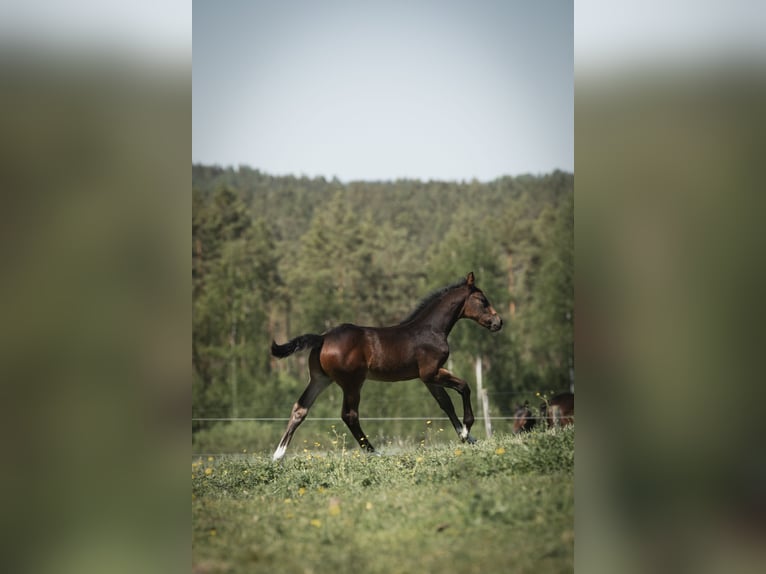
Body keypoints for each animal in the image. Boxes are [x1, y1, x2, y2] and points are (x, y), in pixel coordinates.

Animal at [270, 274, 504, 464]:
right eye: (482, 300)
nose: (498, 322)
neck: (431, 329)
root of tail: (322, 338)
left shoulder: (427, 377)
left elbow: (445, 404)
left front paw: (468, 437)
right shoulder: (431, 372)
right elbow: (464, 387)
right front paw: (467, 431)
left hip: (320, 379)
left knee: (300, 409)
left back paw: (278, 455)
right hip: (352, 383)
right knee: (349, 415)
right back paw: (374, 453)